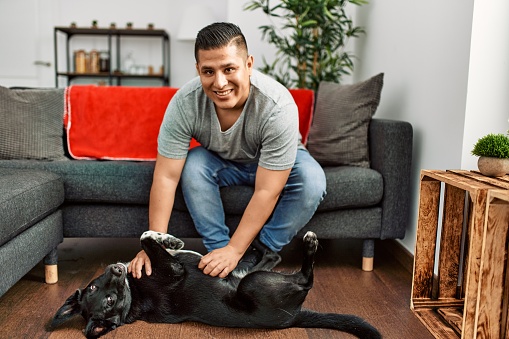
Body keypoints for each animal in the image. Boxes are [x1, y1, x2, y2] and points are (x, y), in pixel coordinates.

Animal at [50, 232, 380, 338]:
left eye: (94, 289)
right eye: (106, 301)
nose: (118, 270)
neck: (132, 295)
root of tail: (294, 318)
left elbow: (147, 241)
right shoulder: (173, 269)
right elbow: (147, 239)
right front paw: (166, 240)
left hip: (245, 272)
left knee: (267, 256)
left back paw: (256, 243)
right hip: (253, 283)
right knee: (304, 278)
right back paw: (308, 246)